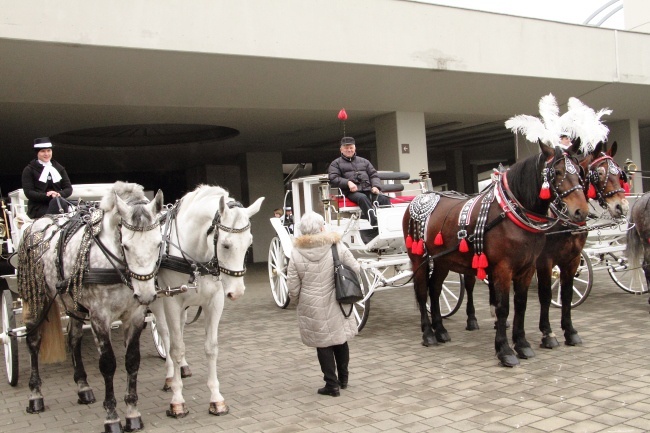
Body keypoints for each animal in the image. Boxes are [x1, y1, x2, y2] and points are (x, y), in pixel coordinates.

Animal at [16, 181, 163, 432]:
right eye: (126, 245)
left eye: (159, 243)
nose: (145, 294)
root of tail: (35, 224)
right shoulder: (99, 317)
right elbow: (108, 364)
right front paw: (112, 417)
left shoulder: (135, 315)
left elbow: (132, 360)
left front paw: (132, 413)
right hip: (37, 298)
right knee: (33, 341)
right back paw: (35, 396)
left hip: (72, 301)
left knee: (73, 339)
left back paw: (83, 387)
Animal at [149, 184, 264, 416]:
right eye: (226, 245)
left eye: (249, 243)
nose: (237, 292)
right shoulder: (172, 301)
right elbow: (175, 348)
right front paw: (177, 400)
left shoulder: (215, 302)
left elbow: (211, 348)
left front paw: (216, 399)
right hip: (158, 303)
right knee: (166, 335)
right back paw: (170, 377)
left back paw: (182, 368)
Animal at [400, 142, 588, 364]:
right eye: (557, 172)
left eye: (580, 172)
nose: (581, 212)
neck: (509, 215)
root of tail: (421, 197)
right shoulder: (504, 269)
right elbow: (503, 307)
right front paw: (505, 350)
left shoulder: (528, 268)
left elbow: (521, 304)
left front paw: (522, 344)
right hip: (418, 257)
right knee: (422, 292)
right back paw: (428, 334)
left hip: (442, 261)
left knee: (435, 289)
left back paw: (441, 330)